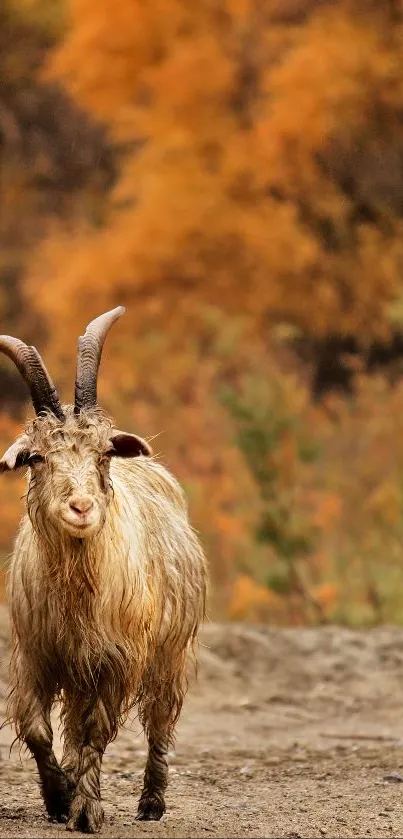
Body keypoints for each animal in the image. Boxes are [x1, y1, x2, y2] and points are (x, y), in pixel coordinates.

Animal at [0, 308, 208, 832]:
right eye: (37, 456)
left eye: (103, 452)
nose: (81, 507)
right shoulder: (35, 653)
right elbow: (37, 728)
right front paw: (59, 798)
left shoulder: (116, 659)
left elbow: (96, 730)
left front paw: (87, 811)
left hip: (170, 655)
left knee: (159, 723)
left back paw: (151, 803)